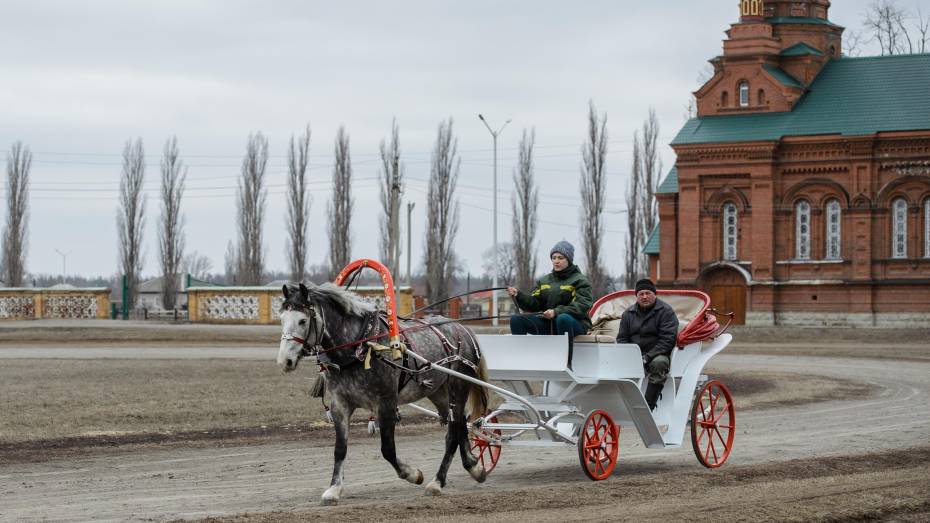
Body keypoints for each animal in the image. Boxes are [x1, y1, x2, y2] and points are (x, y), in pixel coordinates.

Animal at [276, 284, 490, 506]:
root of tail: (463, 329)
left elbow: (387, 449)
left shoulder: (386, 403)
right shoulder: (339, 404)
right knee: (460, 424)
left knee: (453, 432)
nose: (285, 361)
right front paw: (334, 489)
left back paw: (437, 482)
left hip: (459, 386)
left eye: (302, 320)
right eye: (281, 318)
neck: (360, 347)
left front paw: (412, 474)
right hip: (439, 392)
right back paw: (474, 467)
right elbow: (340, 448)